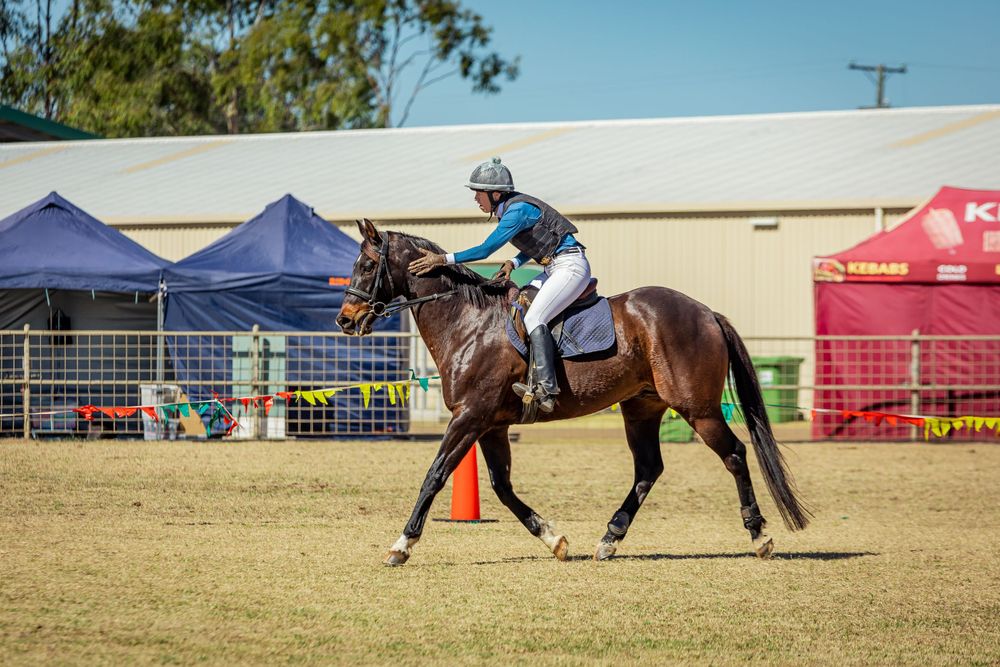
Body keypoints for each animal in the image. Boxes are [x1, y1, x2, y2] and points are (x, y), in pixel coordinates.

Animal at [337, 219, 810, 565]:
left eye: (366, 265)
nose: (345, 319)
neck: (467, 322)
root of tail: (706, 312)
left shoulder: (469, 417)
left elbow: (434, 476)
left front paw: (402, 545)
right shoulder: (490, 424)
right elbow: (502, 487)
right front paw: (554, 539)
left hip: (699, 409)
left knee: (734, 455)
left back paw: (759, 535)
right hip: (641, 408)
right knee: (648, 469)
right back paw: (610, 538)